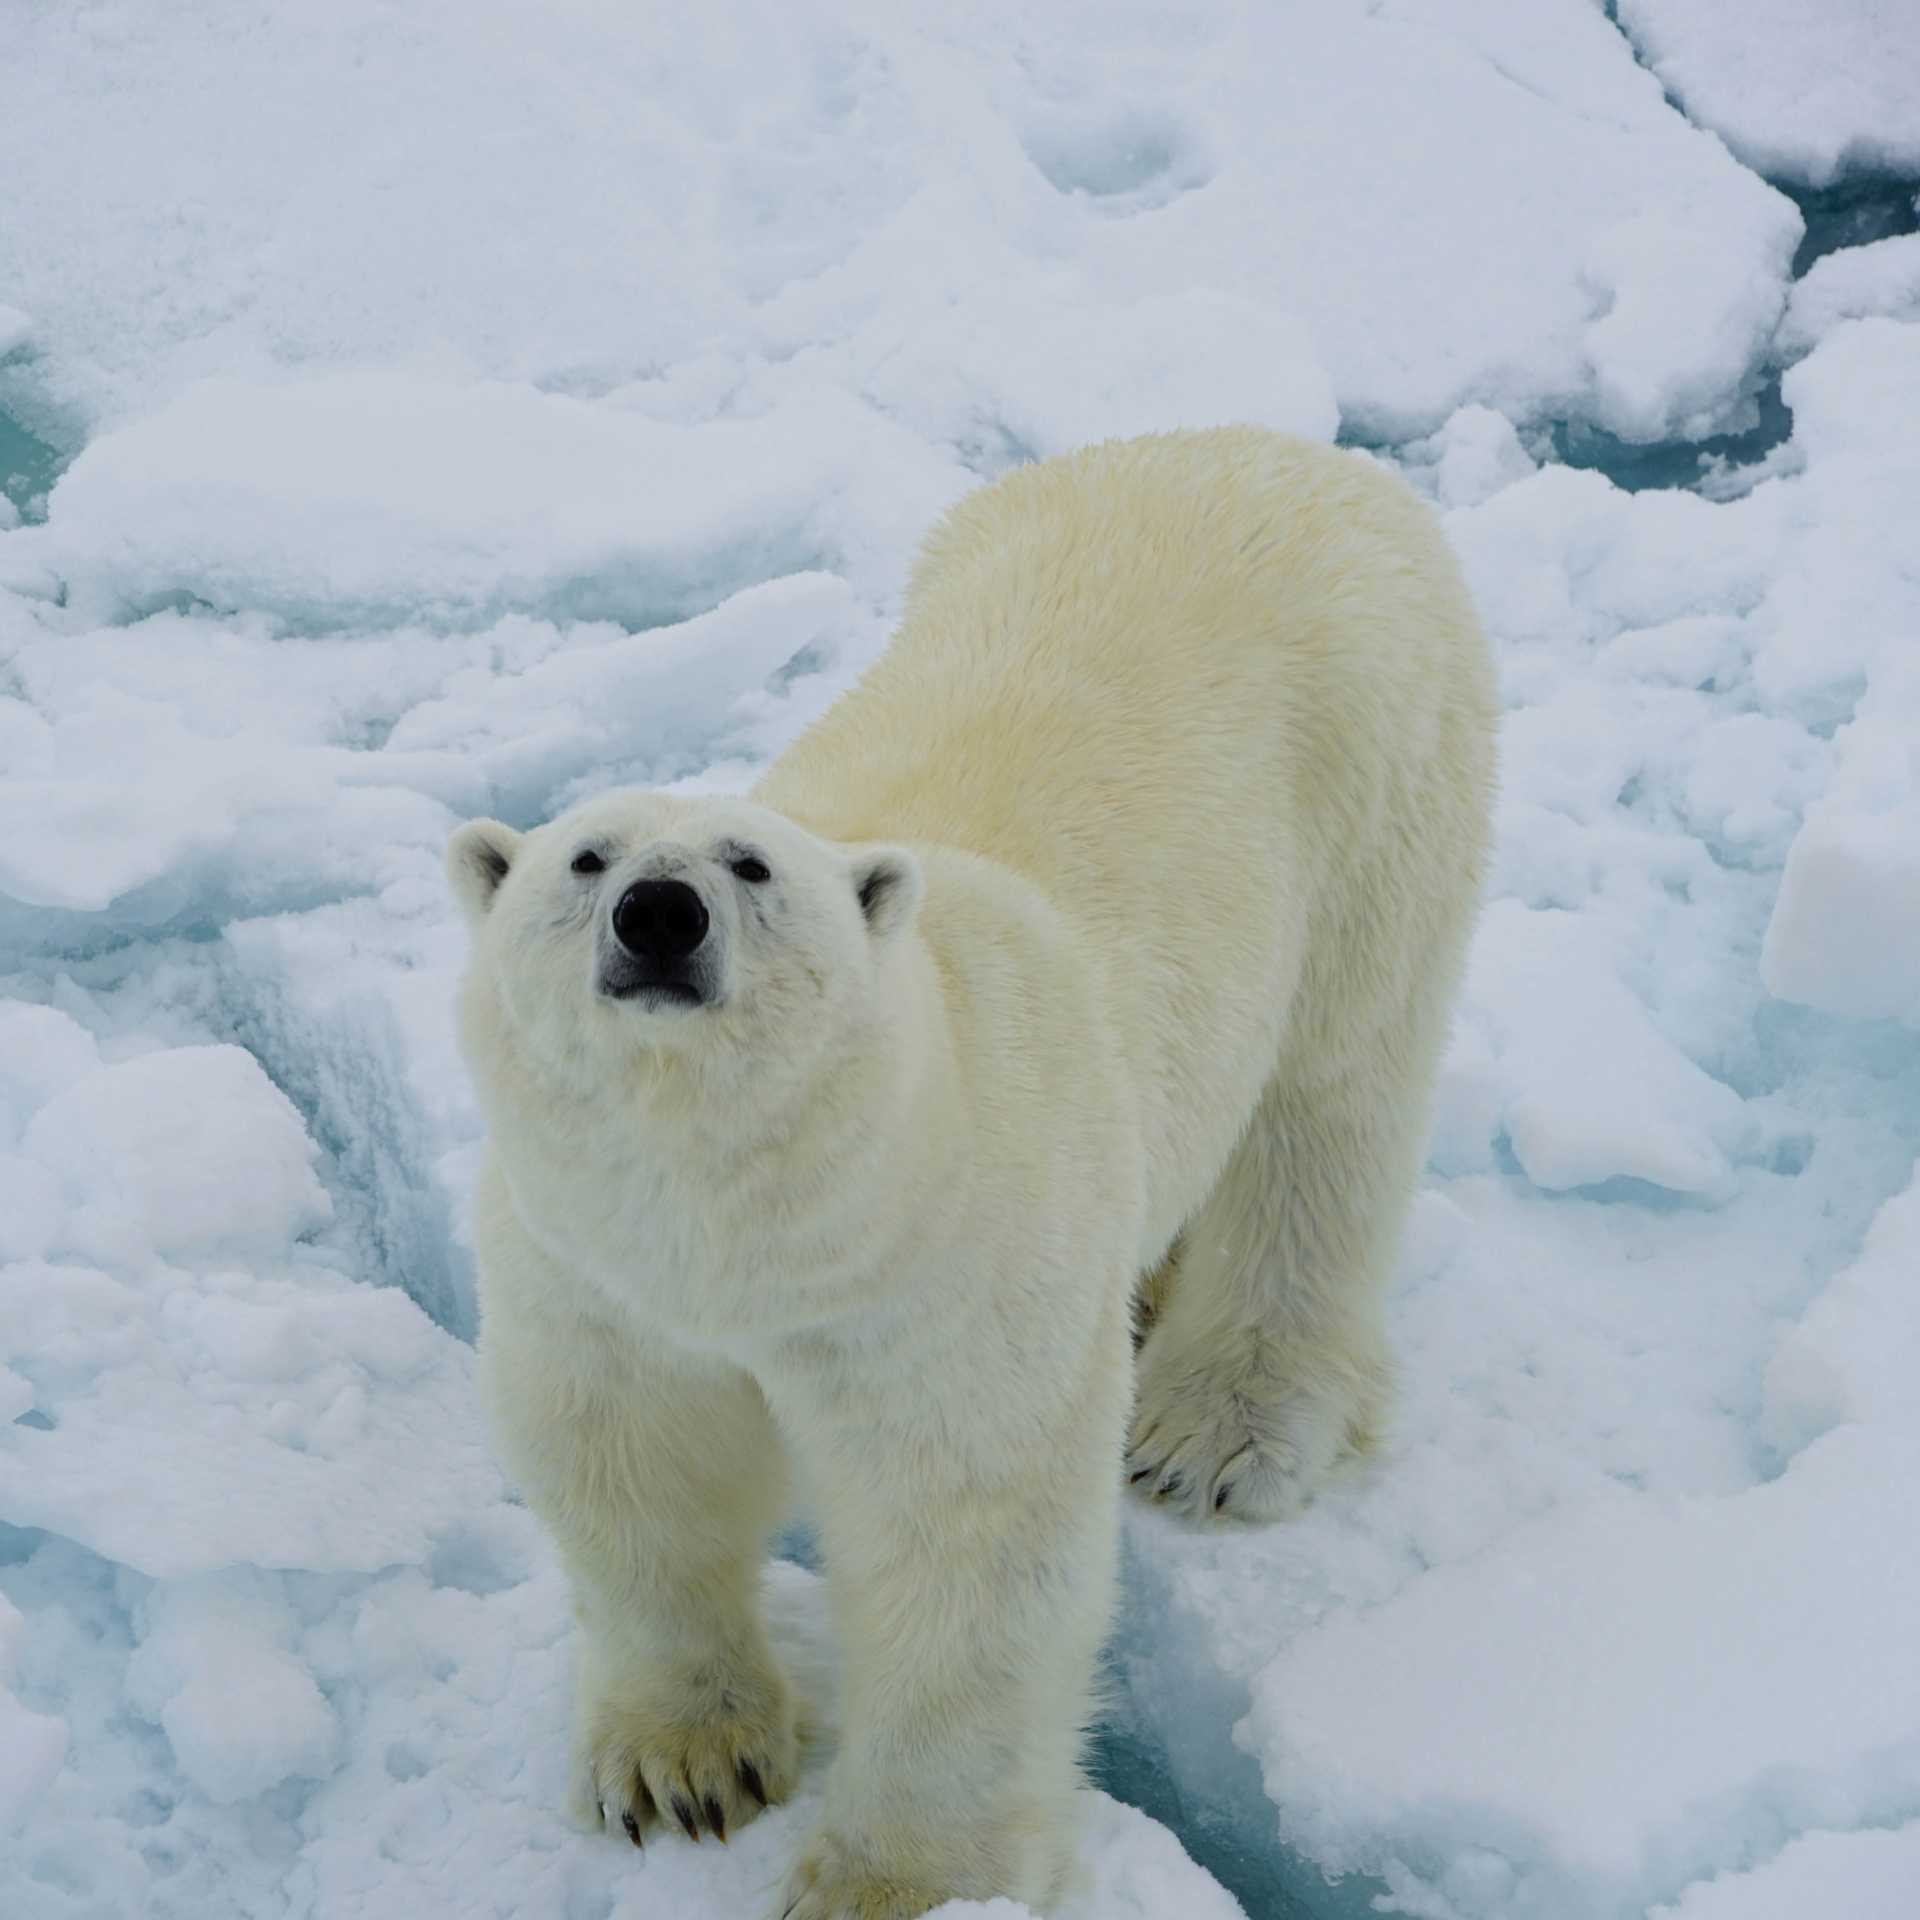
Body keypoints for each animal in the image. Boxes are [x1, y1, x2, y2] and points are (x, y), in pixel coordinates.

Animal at [447, 427, 1497, 1918]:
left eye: (751, 865)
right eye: (583, 856)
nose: (659, 914)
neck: (755, 1224)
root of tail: (1276, 445)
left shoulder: (954, 1273)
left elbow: (967, 1536)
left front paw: (899, 1883)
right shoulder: (595, 1267)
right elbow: (631, 1467)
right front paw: (678, 1770)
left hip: (1380, 777)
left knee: (1329, 1102)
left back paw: (1219, 1429)